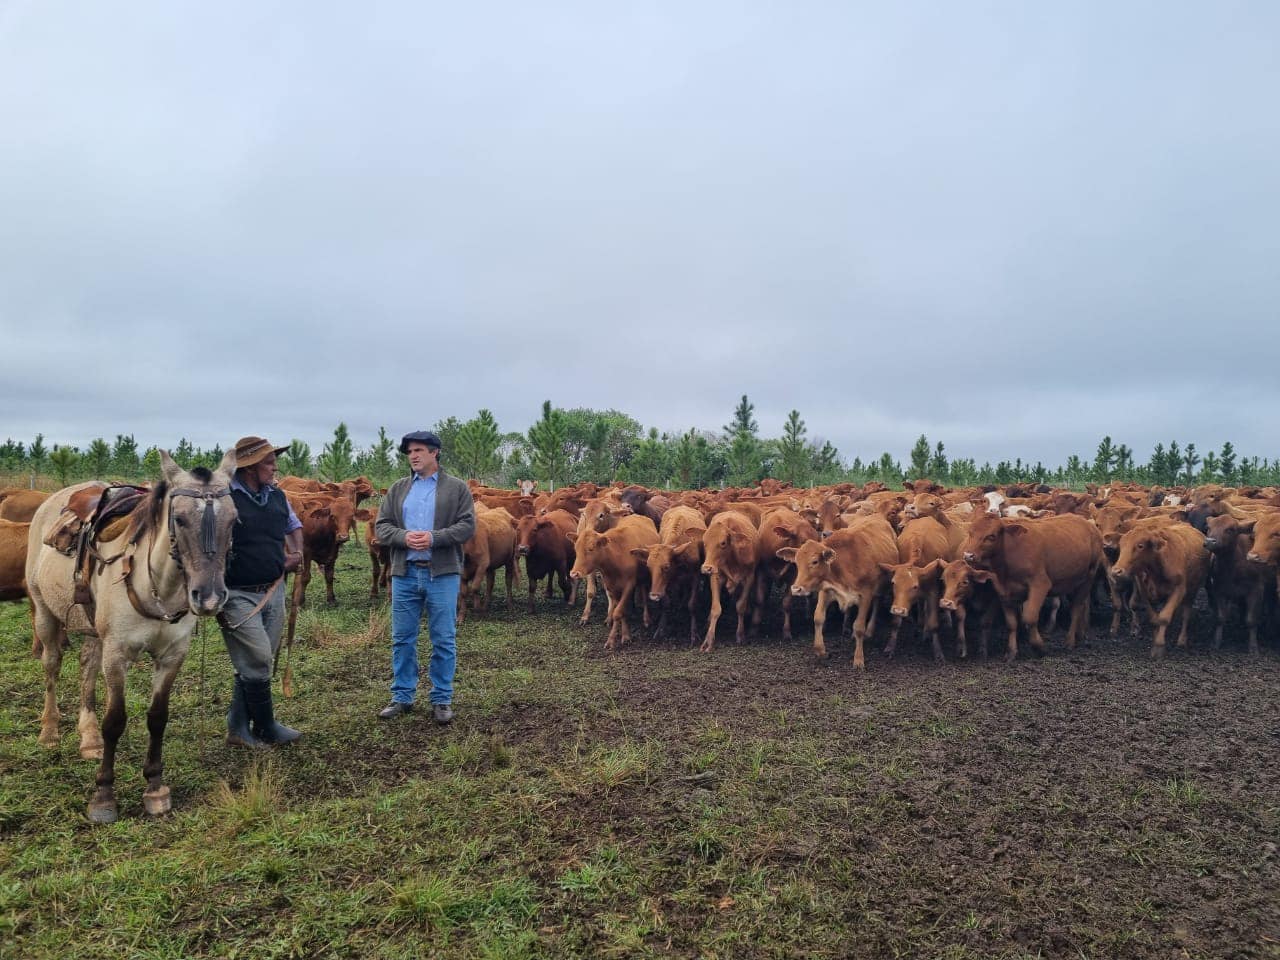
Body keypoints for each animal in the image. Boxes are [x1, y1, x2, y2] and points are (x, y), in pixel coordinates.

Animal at [570, 514, 660, 650]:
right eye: (576, 549)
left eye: (590, 549)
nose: (574, 573)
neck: (616, 556)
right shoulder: (612, 586)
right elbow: (620, 611)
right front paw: (625, 635)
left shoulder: (629, 585)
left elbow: (618, 612)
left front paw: (613, 640)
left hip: (644, 578)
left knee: (644, 596)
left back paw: (646, 619)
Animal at [773, 519, 896, 670]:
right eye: (796, 562)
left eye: (814, 561)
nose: (796, 589)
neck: (844, 565)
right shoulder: (825, 590)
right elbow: (818, 618)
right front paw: (820, 650)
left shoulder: (866, 595)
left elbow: (859, 627)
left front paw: (858, 659)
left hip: (880, 587)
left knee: (877, 603)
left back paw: (869, 630)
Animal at [962, 514, 1100, 665]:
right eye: (970, 532)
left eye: (991, 536)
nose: (968, 555)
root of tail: (1087, 522)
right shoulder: (1004, 592)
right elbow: (1011, 624)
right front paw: (1011, 652)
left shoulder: (1040, 584)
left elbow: (1030, 618)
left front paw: (1039, 647)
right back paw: (1080, 634)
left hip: (1090, 575)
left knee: (1076, 608)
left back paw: (1070, 641)